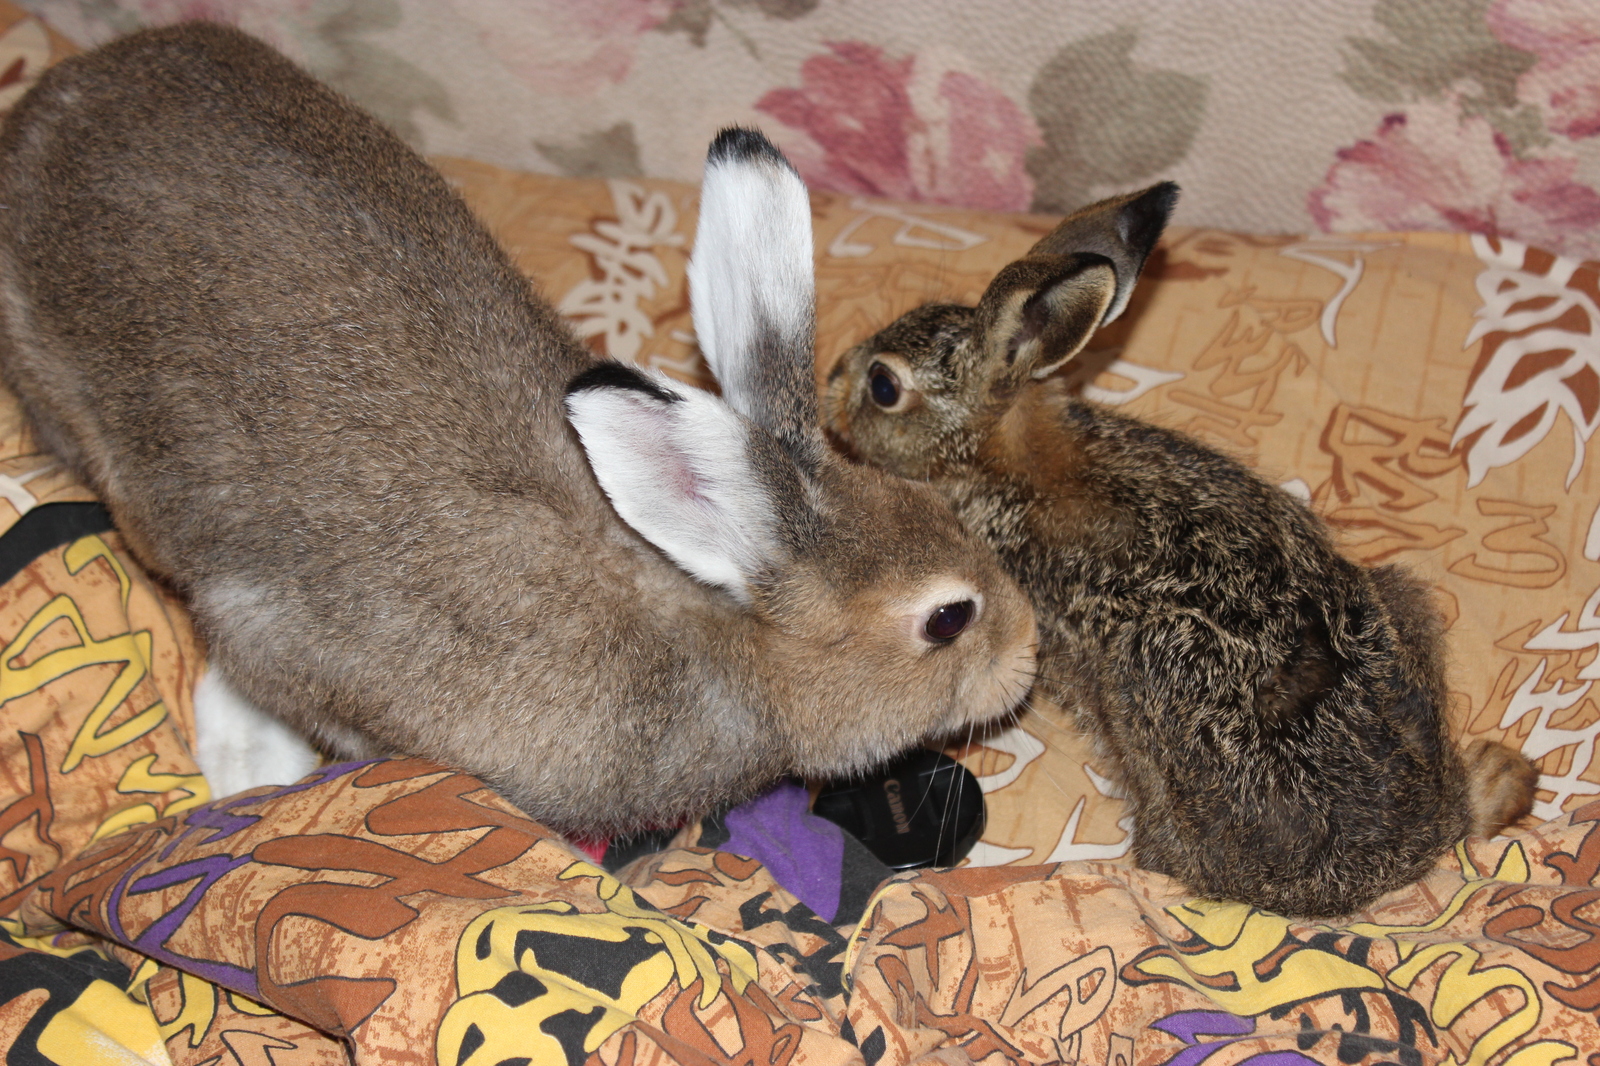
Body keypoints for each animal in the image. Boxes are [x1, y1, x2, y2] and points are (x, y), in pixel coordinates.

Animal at [0, 24, 1036, 832]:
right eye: (948, 618)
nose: (1027, 657)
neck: (717, 622)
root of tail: (50, 100)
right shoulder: (278, 638)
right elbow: (252, 669)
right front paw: (251, 763)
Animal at [825, 182, 1536, 915]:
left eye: (883, 386)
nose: (833, 377)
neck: (996, 450)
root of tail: (1404, 857)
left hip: (1143, 704)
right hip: (1396, 597)